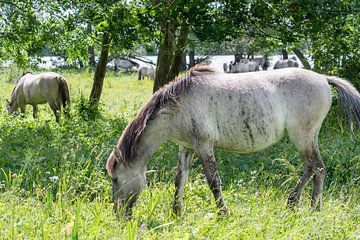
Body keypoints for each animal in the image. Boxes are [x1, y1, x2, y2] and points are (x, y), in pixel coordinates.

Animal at [105, 65, 360, 216]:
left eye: (116, 179)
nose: (118, 213)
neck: (179, 104)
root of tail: (323, 78)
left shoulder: (204, 146)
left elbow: (213, 182)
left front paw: (223, 213)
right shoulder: (186, 147)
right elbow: (180, 180)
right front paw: (176, 211)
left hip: (302, 136)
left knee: (317, 167)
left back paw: (312, 207)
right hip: (308, 137)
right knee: (312, 167)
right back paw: (297, 203)